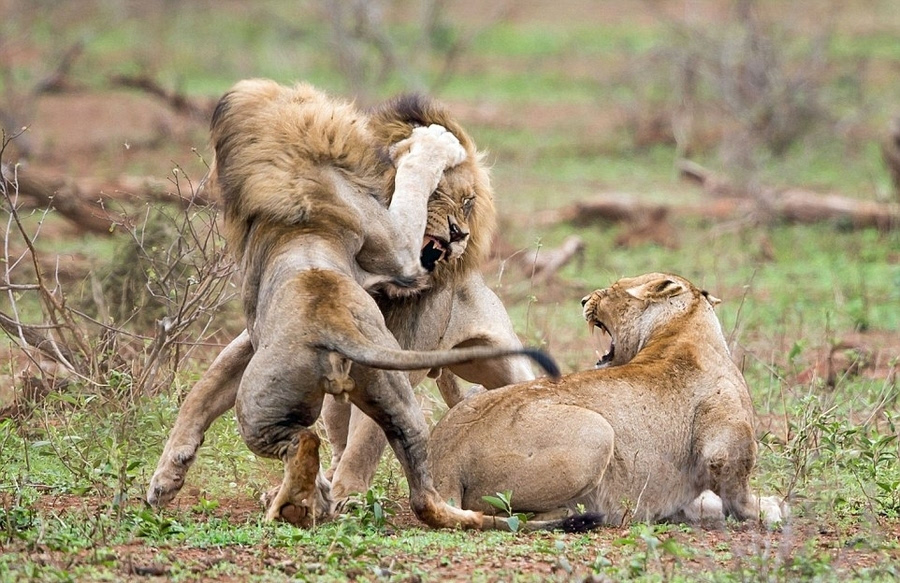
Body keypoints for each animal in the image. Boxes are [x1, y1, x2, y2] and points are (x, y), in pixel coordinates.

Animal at [149, 78, 556, 528]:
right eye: (441, 196)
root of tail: (334, 333)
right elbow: (204, 391)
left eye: (468, 202)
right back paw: (312, 495)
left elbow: (366, 440)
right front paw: (166, 477)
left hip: (501, 364)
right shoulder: (259, 333)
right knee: (333, 442)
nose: (459, 235)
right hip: (335, 400)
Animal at [428, 272, 788, 532]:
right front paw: (769, 510)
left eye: (614, 289)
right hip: (598, 431)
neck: (682, 328)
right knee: (511, 513)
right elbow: (737, 493)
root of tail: (444, 460)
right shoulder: (724, 446)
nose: (584, 299)